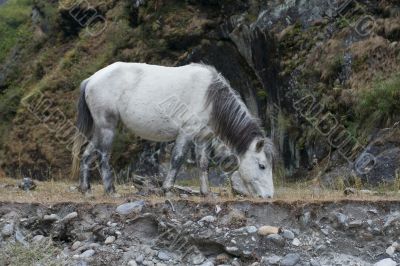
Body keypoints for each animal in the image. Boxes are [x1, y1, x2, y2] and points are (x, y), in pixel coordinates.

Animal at [69, 62, 276, 197]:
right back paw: (110, 191)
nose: (269, 196)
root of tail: (92, 79)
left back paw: (86, 190)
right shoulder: (186, 133)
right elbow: (177, 159)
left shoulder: (203, 139)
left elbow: (203, 164)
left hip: (100, 130)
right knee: (103, 156)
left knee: (87, 155)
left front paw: (206, 193)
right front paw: (166, 189)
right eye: (262, 165)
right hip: (107, 128)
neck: (210, 98)